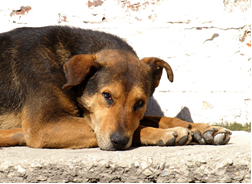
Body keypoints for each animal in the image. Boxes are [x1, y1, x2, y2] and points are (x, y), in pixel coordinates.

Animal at [0, 25, 231, 150]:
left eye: (140, 103)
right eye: (107, 95)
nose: (119, 141)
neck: (64, 71)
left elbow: (159, 118)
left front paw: (204, 129)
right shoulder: (43, 126)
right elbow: (138, 127)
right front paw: (166, 134)